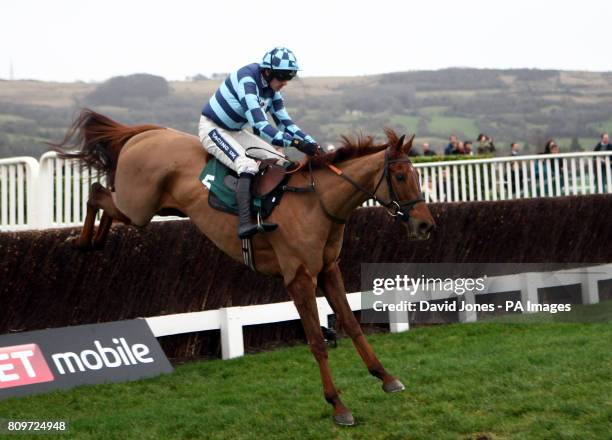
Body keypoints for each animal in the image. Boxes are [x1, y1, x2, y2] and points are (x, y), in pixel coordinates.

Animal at [52, 110, 436, 426]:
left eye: (416, 175)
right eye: (400, 176)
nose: (425, 225)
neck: (317, 201)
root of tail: (145, 133)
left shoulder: (329, 270)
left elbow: (352, 324)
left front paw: (385, 377)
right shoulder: (299, 278)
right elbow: (316, 341)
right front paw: (338, 406)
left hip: (152, 208)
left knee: (103, 200)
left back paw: (93, 242)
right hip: (139, 207)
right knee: (96, 192)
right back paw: (81, 242)